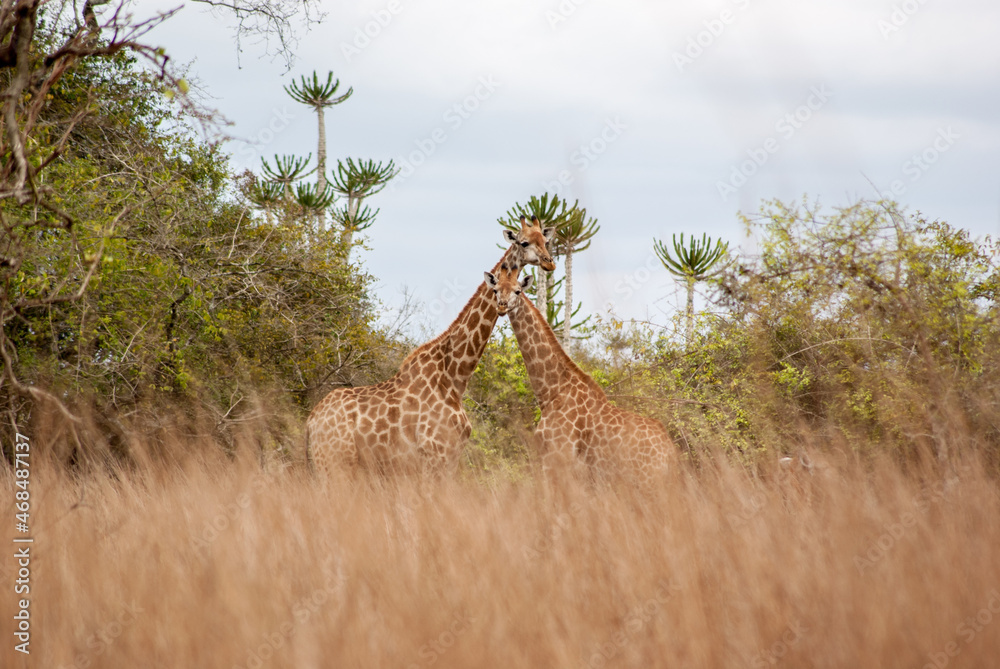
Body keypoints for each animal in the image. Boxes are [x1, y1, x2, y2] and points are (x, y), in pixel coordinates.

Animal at [306, 216, 556, 476]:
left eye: (545, 239)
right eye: (524, 242)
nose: (549, 263)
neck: (454, 377)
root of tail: (311, 422)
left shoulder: (450, 458)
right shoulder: (434, 456)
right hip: (335, 464)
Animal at [484, 262, 674, 486]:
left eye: (518, 290)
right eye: (495, 290)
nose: (502, 306)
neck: (551, 391)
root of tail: (670, 451)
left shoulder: (558, 459)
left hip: (649, 480)